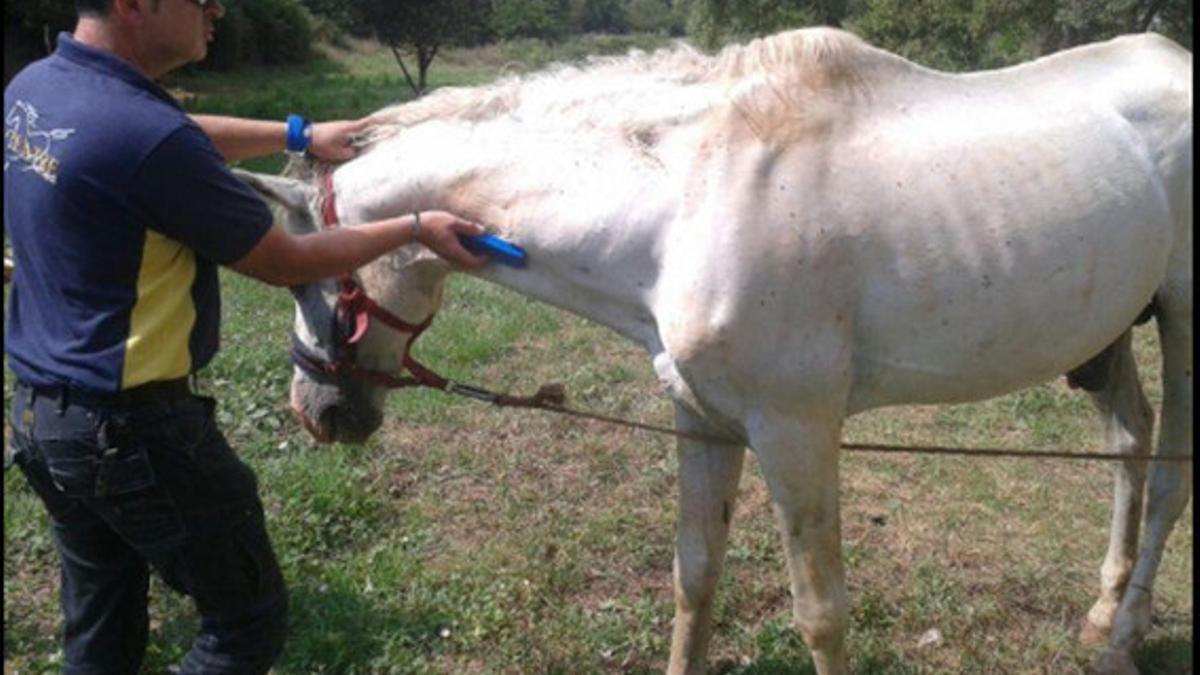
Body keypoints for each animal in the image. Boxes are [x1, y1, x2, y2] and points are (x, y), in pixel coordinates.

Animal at [238, 27, 1195, 672]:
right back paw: (1102, 610)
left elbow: (821, 611)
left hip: (1184, 321)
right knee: (1129, 442)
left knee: (1170, 476)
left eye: (307, 282)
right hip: (1110, 331)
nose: (315, 411)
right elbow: (694, 575)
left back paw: (1123, 637)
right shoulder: (700, 414)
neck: (688, 199)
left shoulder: (794, 431)